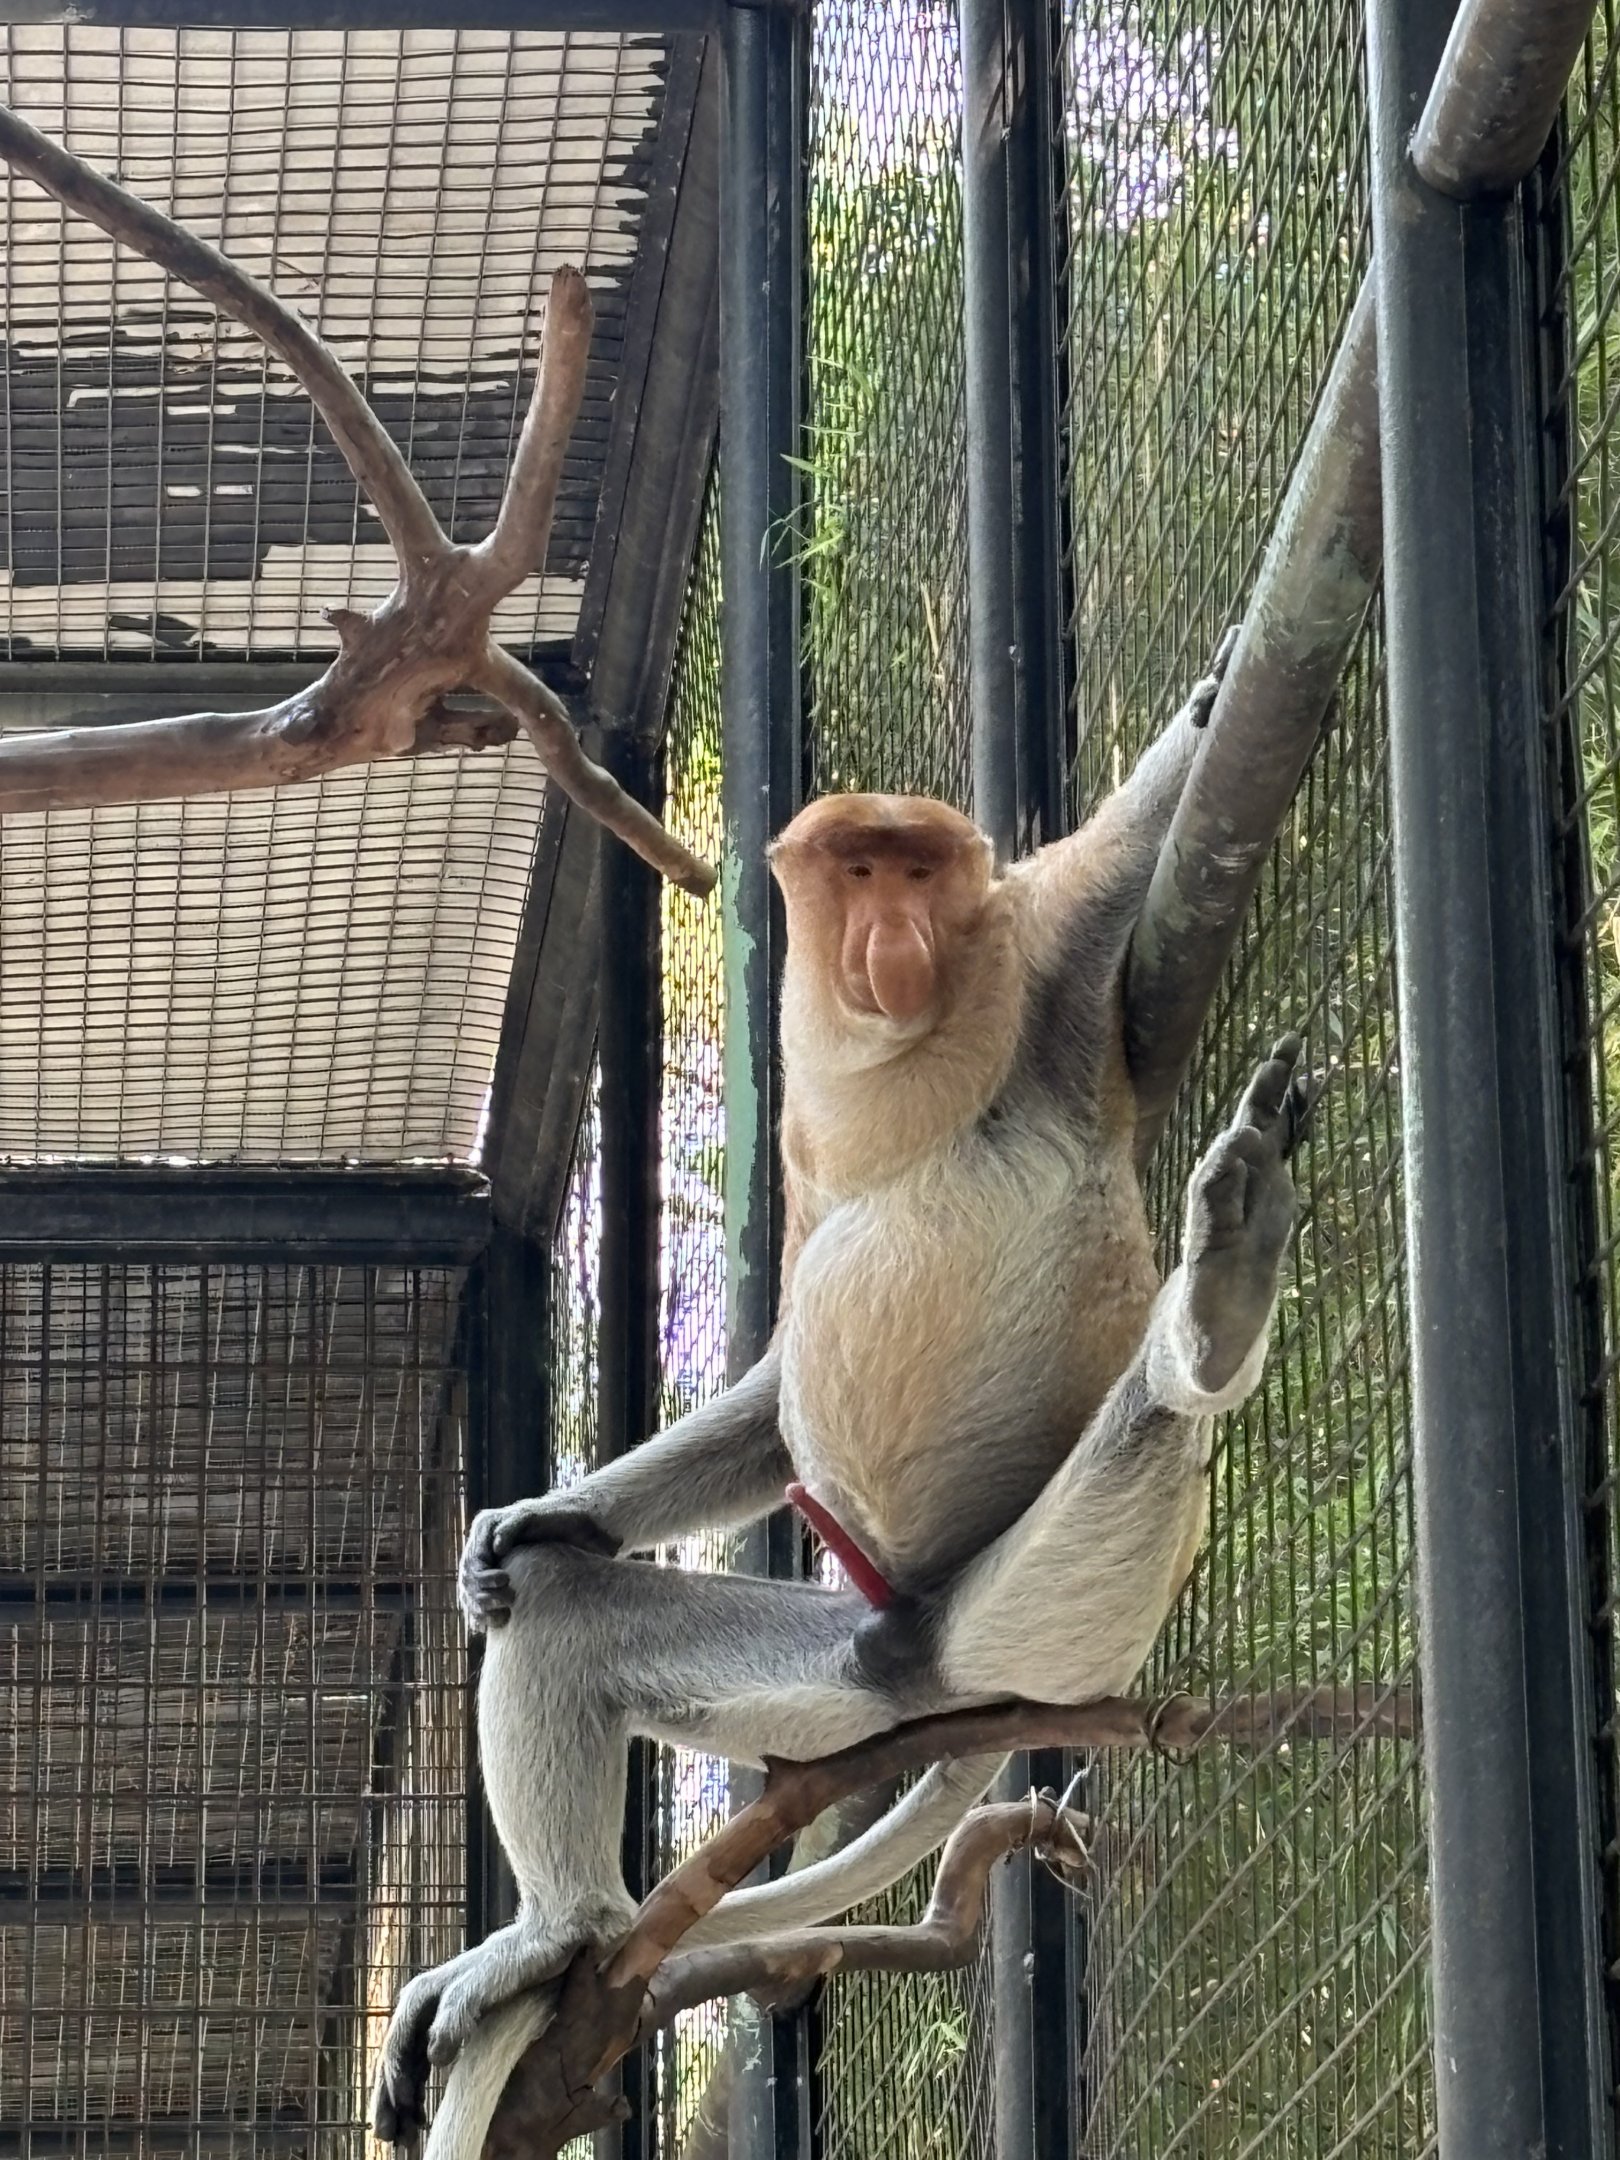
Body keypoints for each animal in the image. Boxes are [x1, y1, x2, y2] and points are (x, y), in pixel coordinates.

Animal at [371, 642, 1309, 2155]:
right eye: (856, 871)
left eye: (921, 869)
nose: (893, 937)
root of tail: (946, 1656)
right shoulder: (810, 1126)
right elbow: (775, 1375)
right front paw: (536, 1520)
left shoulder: (1042, 939)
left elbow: (1125, 850)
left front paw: (1219, 693)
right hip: (850, 1678)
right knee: (576, 1621)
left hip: (1038, 1612)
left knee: (1151, 1433)